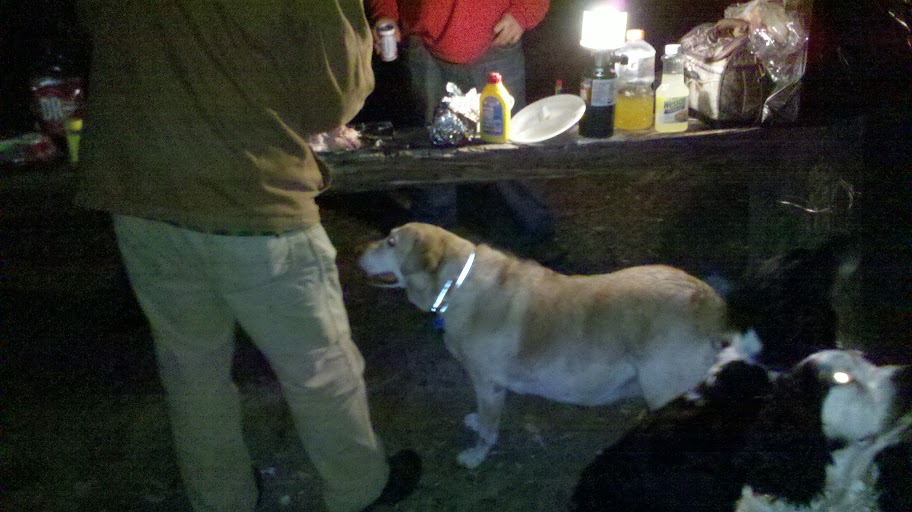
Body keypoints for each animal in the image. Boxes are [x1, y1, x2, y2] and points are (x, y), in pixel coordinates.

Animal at [358, 222, 729, 468]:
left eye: (390, 242)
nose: (357, 253)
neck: (458, 283)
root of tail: (709, 302)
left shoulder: (488, 383)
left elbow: (489, 429)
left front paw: (477, 455)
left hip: (667, 390)